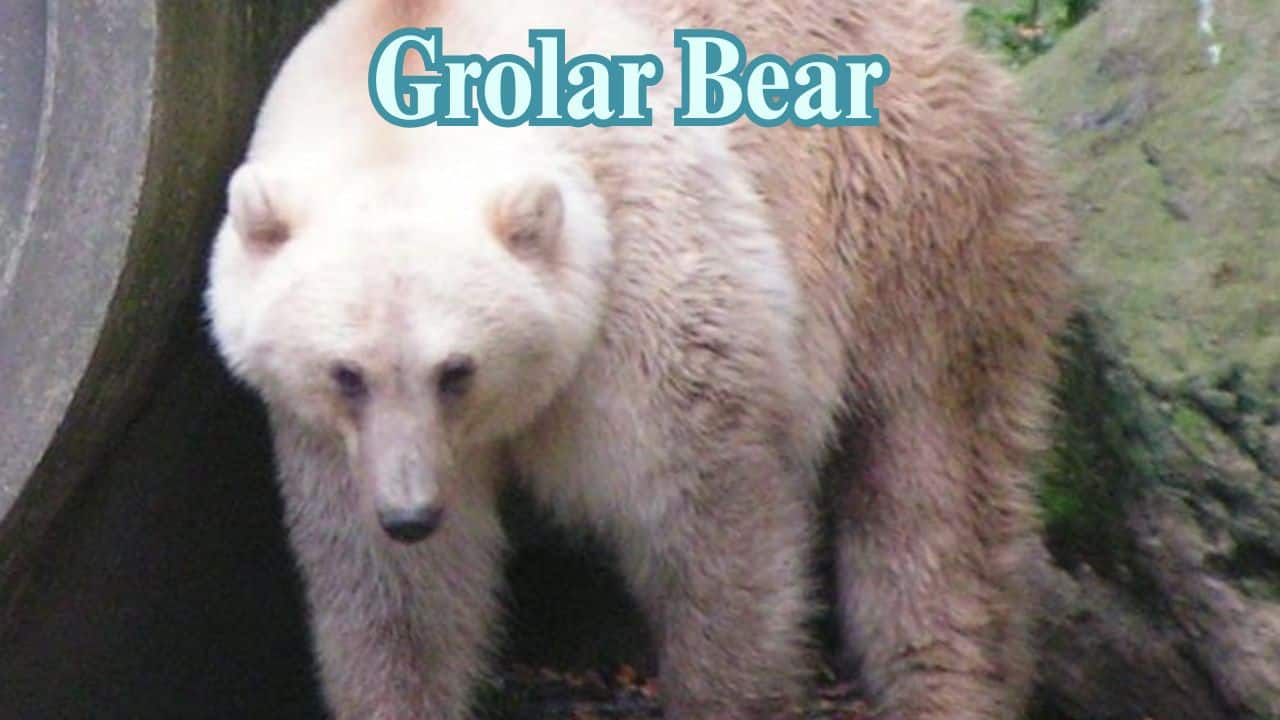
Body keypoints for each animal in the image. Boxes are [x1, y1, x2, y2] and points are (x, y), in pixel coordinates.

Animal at [205, 0, 1073, 719]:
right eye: (345, 373)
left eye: (457, 370)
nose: (411, 512)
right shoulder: (329, 439)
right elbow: (395, 600)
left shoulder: (643, 287)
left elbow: (710, 524)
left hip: (912, 215)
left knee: (932, 486)